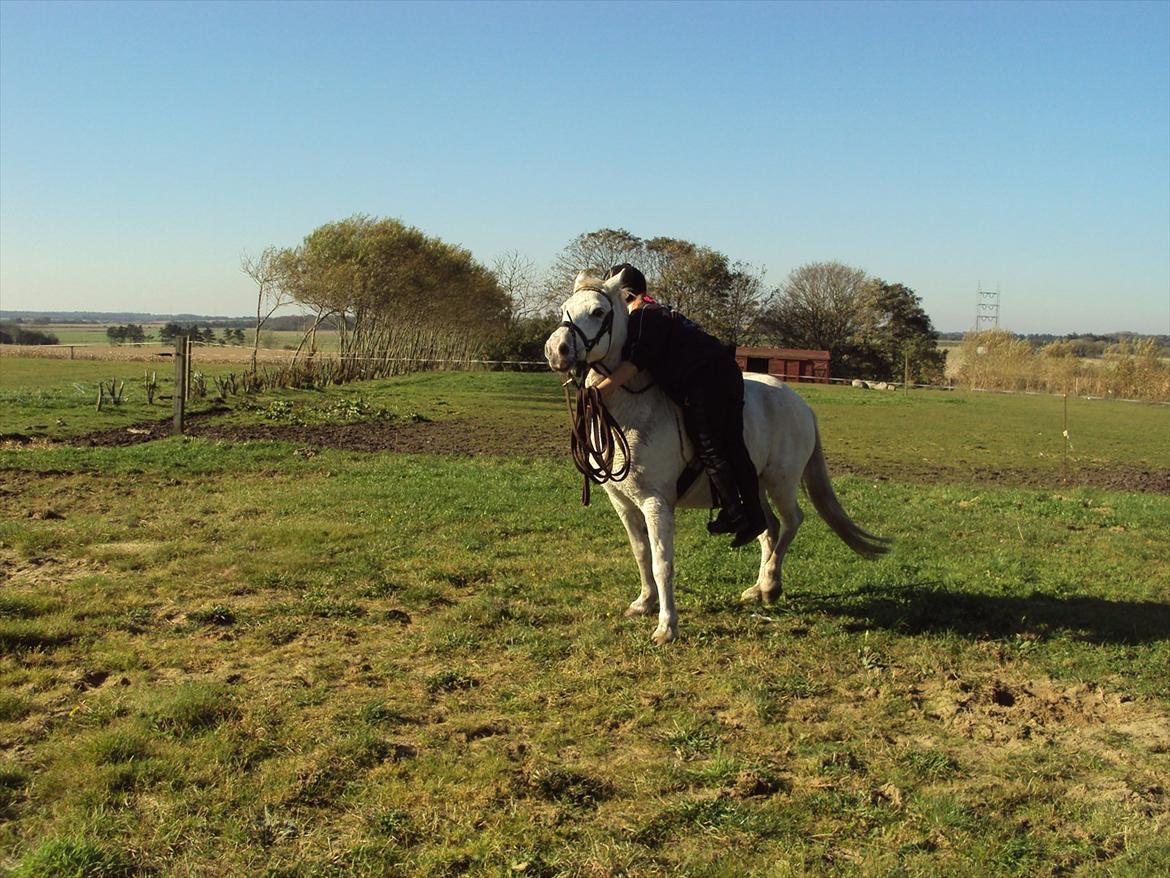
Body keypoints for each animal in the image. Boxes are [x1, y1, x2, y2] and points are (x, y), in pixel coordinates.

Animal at [542, 270, 889, 646]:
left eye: (597, 312)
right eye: (565, 308)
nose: (556, 350)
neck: (632, 408)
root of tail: (801, 404)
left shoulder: (655, 503)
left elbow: (662, 562)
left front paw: (666, 626)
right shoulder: (623, 502)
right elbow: (641, 553)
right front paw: (644, 603)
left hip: (780, 482)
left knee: (792, 521)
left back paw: (771, 583)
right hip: (754, 485)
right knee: (768, 526)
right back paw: (758, 588)